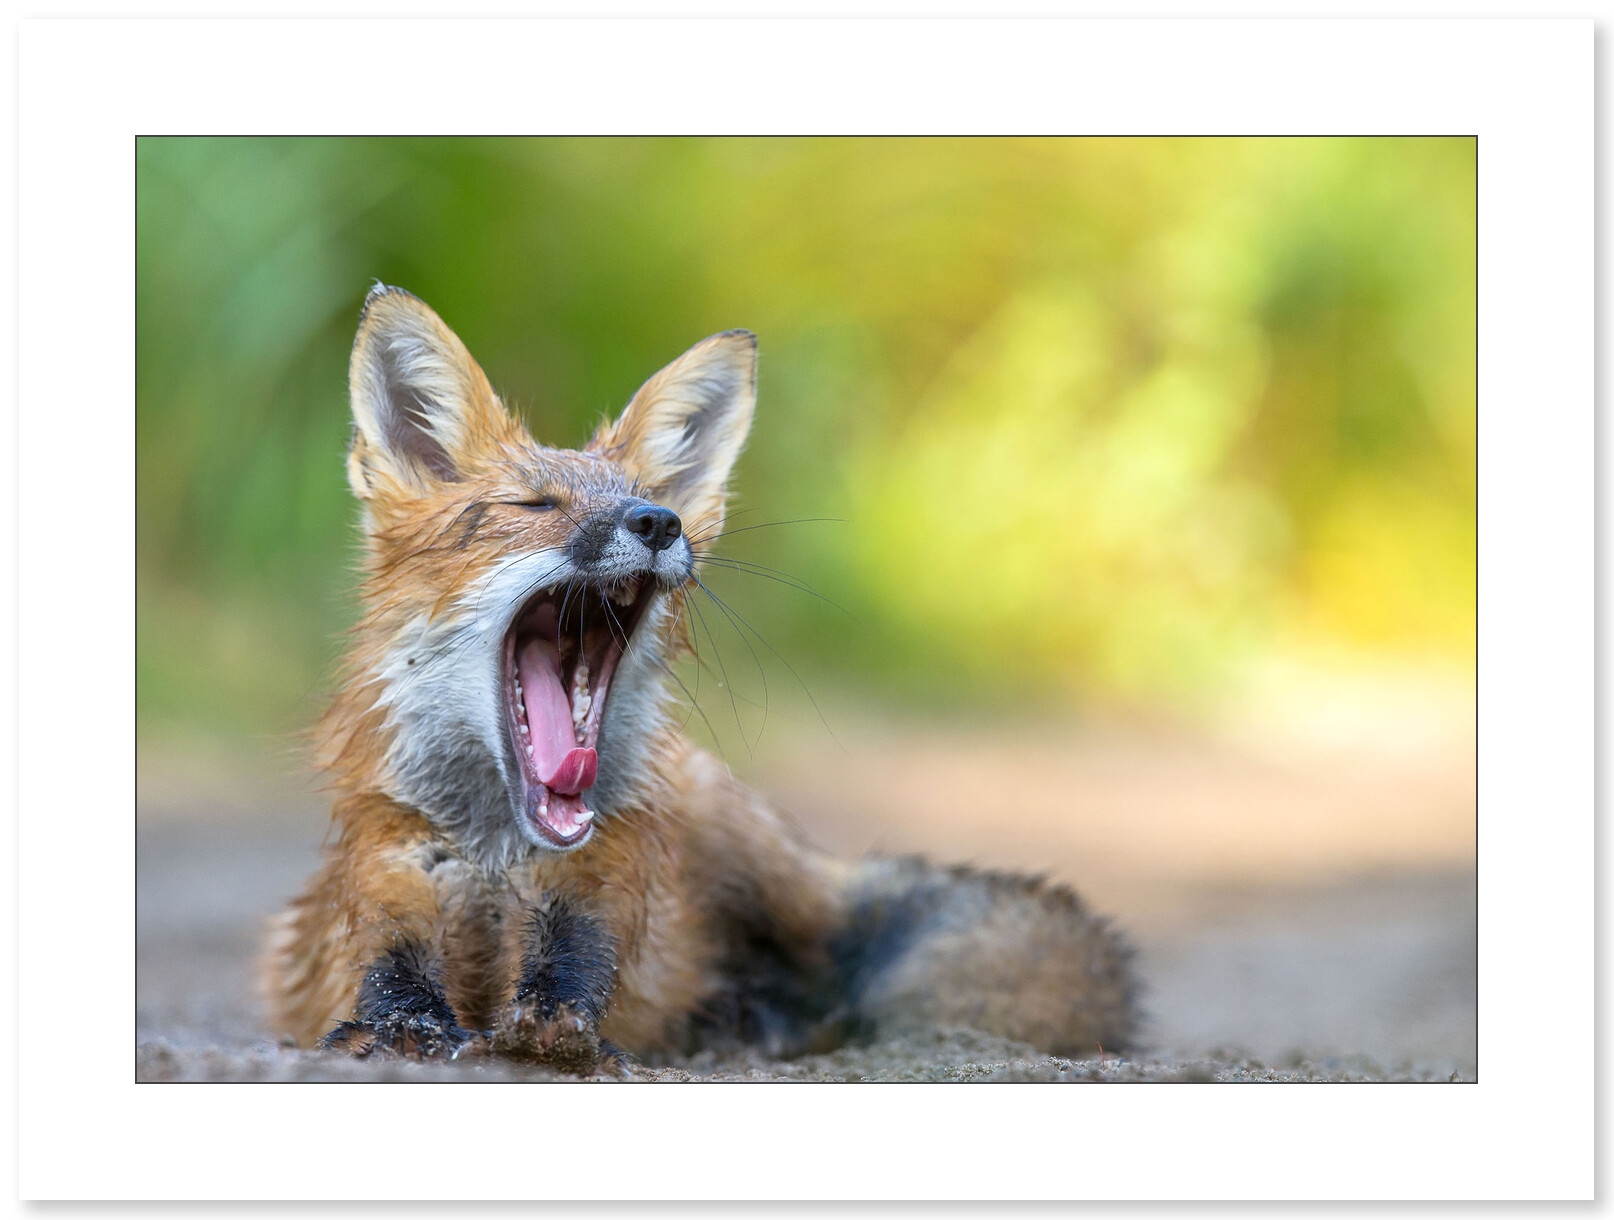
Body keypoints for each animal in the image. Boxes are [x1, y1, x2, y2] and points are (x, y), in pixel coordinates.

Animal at [261, 284, 1138, 1073]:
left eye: (649, 500)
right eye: (534, 505)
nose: (658, 522)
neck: (499, 856)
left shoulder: (601, 881)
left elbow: (579, 972)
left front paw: (557, 1034)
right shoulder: (389, 871)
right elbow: (390, 975)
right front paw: (401, 1029)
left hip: (751, 854)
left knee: (836, 971)